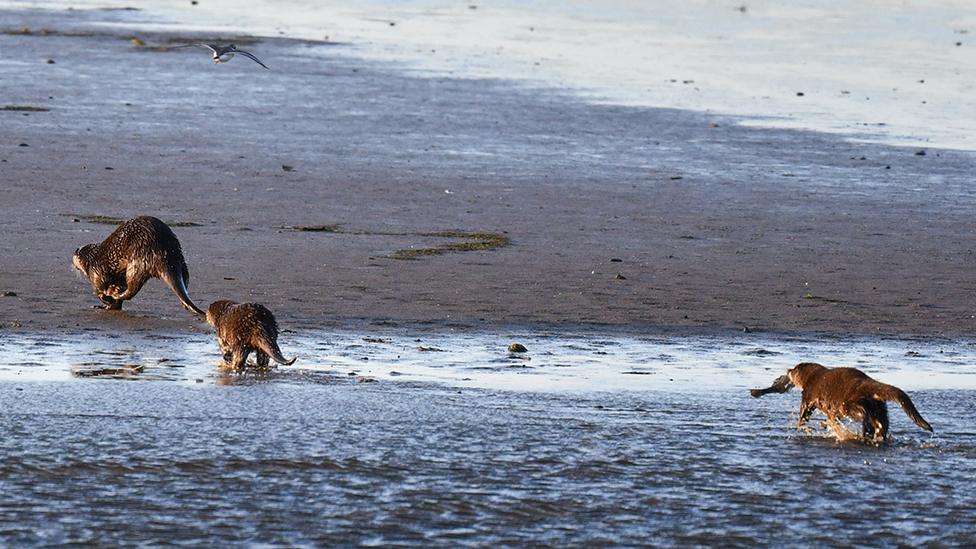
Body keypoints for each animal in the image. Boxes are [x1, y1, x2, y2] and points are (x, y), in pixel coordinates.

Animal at [73, 215, 206, 314]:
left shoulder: (96, 273)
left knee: (131, 288)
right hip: (180, 259)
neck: (91, 258)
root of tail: (164, 253)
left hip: (137, 262)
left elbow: (100, 291)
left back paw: (116, 294)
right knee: (186, 279)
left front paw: (107, 299)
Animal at [752, 362, 936, 444]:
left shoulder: (809, 394)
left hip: (849, 402)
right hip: (880, 406)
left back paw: (864, 429)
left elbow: (805, 411)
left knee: (862, 413)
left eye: (794, 370)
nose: (788, 370)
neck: (813, 377)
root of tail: (866, 382)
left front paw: (802, 424)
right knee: (882, 422)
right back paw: (876, 435)